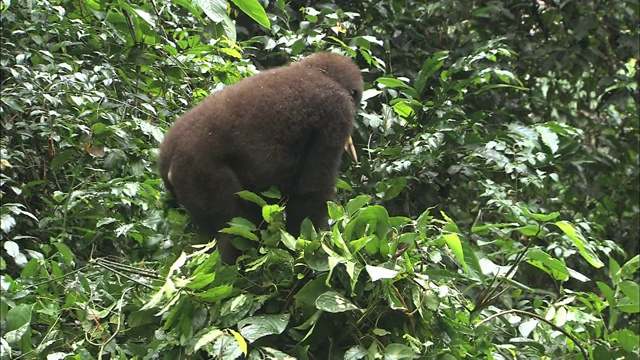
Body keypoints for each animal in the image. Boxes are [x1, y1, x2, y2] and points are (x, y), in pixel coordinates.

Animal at [158, 51, 362, 264]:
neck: (317, 71)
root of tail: (168, 159)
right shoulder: (337, 112)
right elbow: (310, 195)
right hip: (198, 170)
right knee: (233, 228)